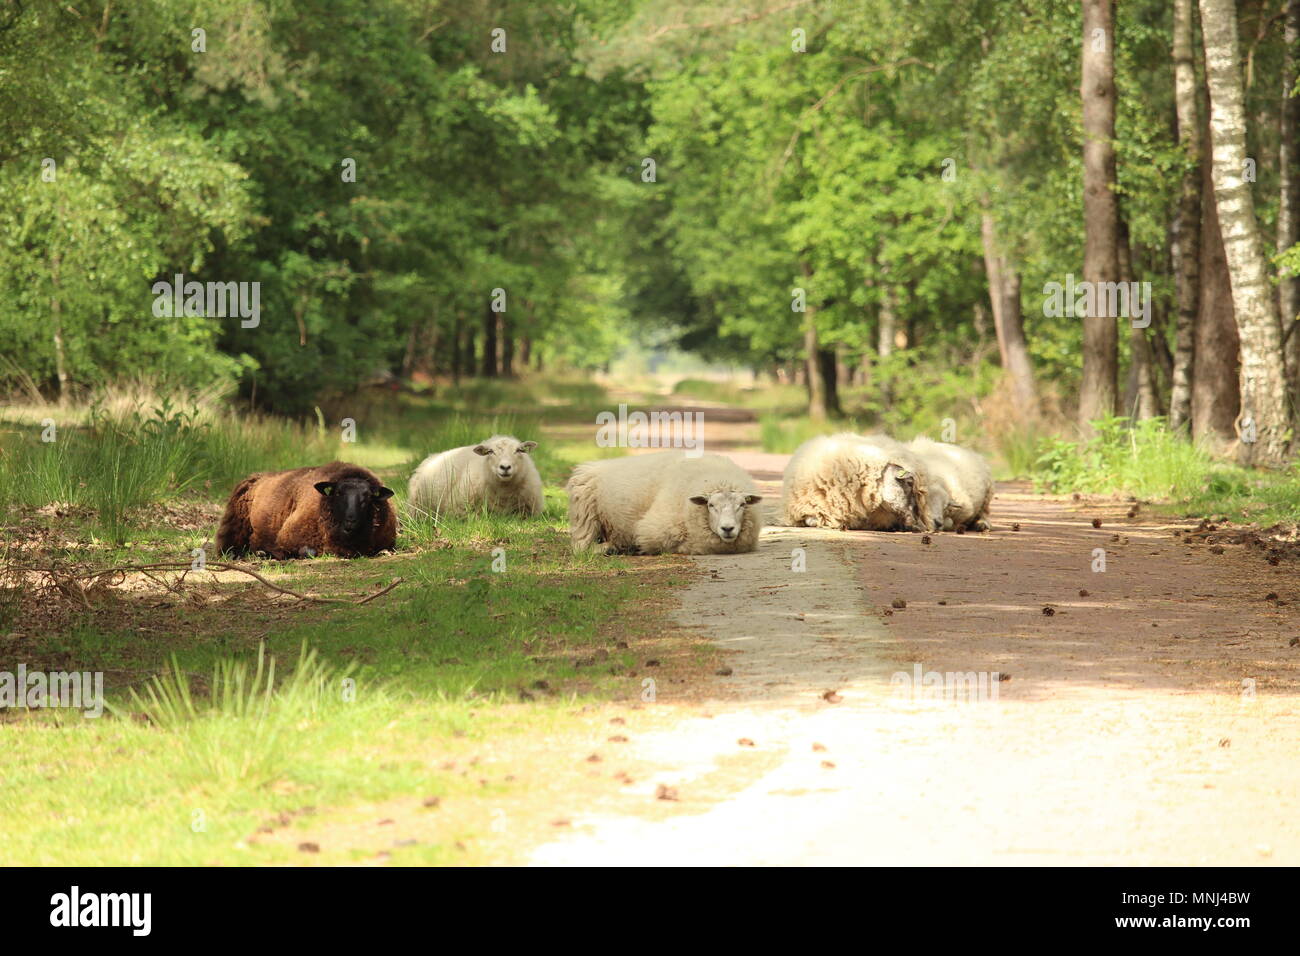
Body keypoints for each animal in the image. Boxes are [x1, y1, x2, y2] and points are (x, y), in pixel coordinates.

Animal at [215, 463, 395, 561]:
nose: (351, 521)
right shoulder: (287, 537)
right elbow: (307, 551)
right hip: (235, 526)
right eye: (338, 493)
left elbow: (385, 550)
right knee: (229, 548)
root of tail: (258, 476)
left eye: (368, 496)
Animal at [408, 437, 546, 520]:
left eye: (519, 450)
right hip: (418, 508)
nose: (505, 467)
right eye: (490, 452)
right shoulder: (458, 510)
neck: (504, 492)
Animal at [566, 452, 759, 556]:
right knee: (580, 547)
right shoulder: (653, 530)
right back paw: (608, 548)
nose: (728, 528)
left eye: (742, 504)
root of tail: (592, 465)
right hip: (585, 517)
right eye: (711, 505)